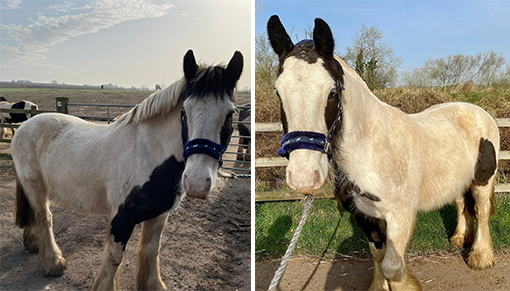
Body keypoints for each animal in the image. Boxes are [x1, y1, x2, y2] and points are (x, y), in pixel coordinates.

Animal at [11, 49, 243, 290]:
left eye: (230, 114)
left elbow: (151, 251)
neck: (148, 152)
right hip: (36, 187)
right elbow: (114, 259)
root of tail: (24, 126)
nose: (197, 182)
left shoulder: (159, 216)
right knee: (44, 217)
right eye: (184, 111)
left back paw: (33, 245)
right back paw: (53, 263)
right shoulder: (121, 218)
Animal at [266, 14, 498, 290]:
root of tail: (479, 111)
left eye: (332, 92)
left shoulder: (400, 216)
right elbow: (377, 255)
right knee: (462, 202)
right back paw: (459, 238)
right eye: (278, 92)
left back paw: (480, 257)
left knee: (481, 211)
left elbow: (392, 267)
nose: (303, 176)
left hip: (483, 180)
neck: (371, 151)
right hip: (459, 178)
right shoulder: (364, 216)